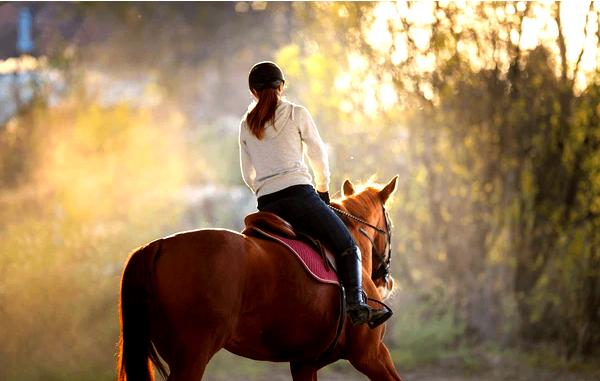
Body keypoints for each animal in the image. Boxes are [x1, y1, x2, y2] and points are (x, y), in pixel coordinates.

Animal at [116, 177, 404, 378]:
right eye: (389, 224)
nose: (386, 280)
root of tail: (158, 246)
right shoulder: (372, 355)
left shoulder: (304, 363)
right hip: (192, 356)